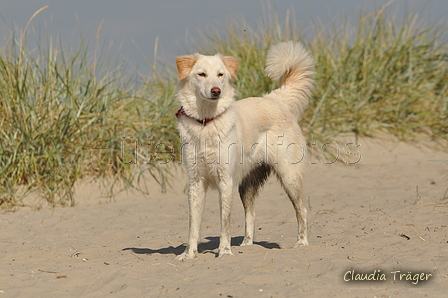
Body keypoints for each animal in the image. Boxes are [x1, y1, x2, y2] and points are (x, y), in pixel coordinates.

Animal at [173, 40, 314, 260]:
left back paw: (301, 243)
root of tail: (275, 99)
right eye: (201, 74)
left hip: (289, 175)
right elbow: (193, 224)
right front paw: (189, 254)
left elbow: (225, 222)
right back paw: (247, 245)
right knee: (251, 214)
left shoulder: (225, 181)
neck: (206, 123)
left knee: (302, 211)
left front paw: (224, 251)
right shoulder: (195, 182)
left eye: (221, 75)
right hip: (246, 185)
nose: (216, 91)